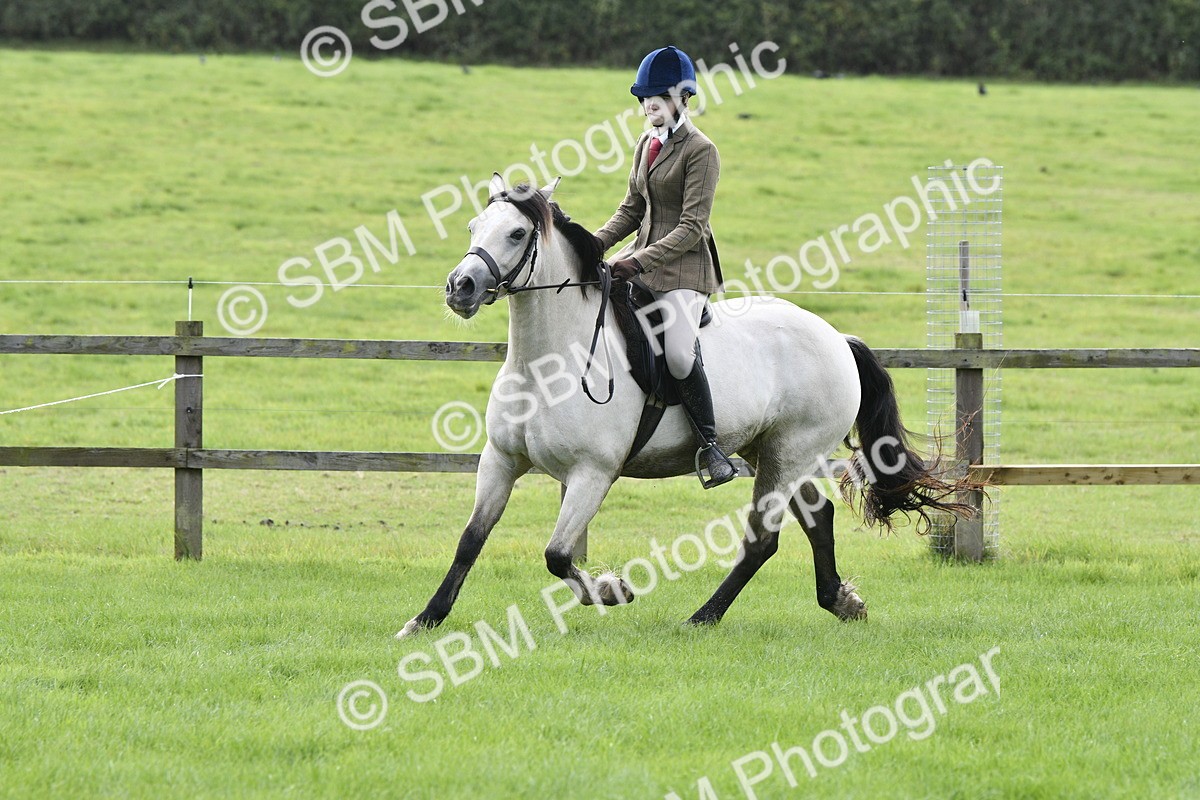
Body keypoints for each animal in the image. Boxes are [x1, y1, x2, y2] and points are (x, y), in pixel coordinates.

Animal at [396, 175, 969, 638]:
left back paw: (703, 617)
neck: (547, 364)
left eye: (517, 234)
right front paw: (424, 620)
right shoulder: (501, 459)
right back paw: (840, 601)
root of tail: (837, 339)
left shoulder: (592, 472)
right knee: (818, 516)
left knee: (761, 541)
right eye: (474, 225)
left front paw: (612, 590)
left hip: (788, 453)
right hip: (776, 452)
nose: (460, 287)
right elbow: (470, 540)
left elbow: (557, 555)